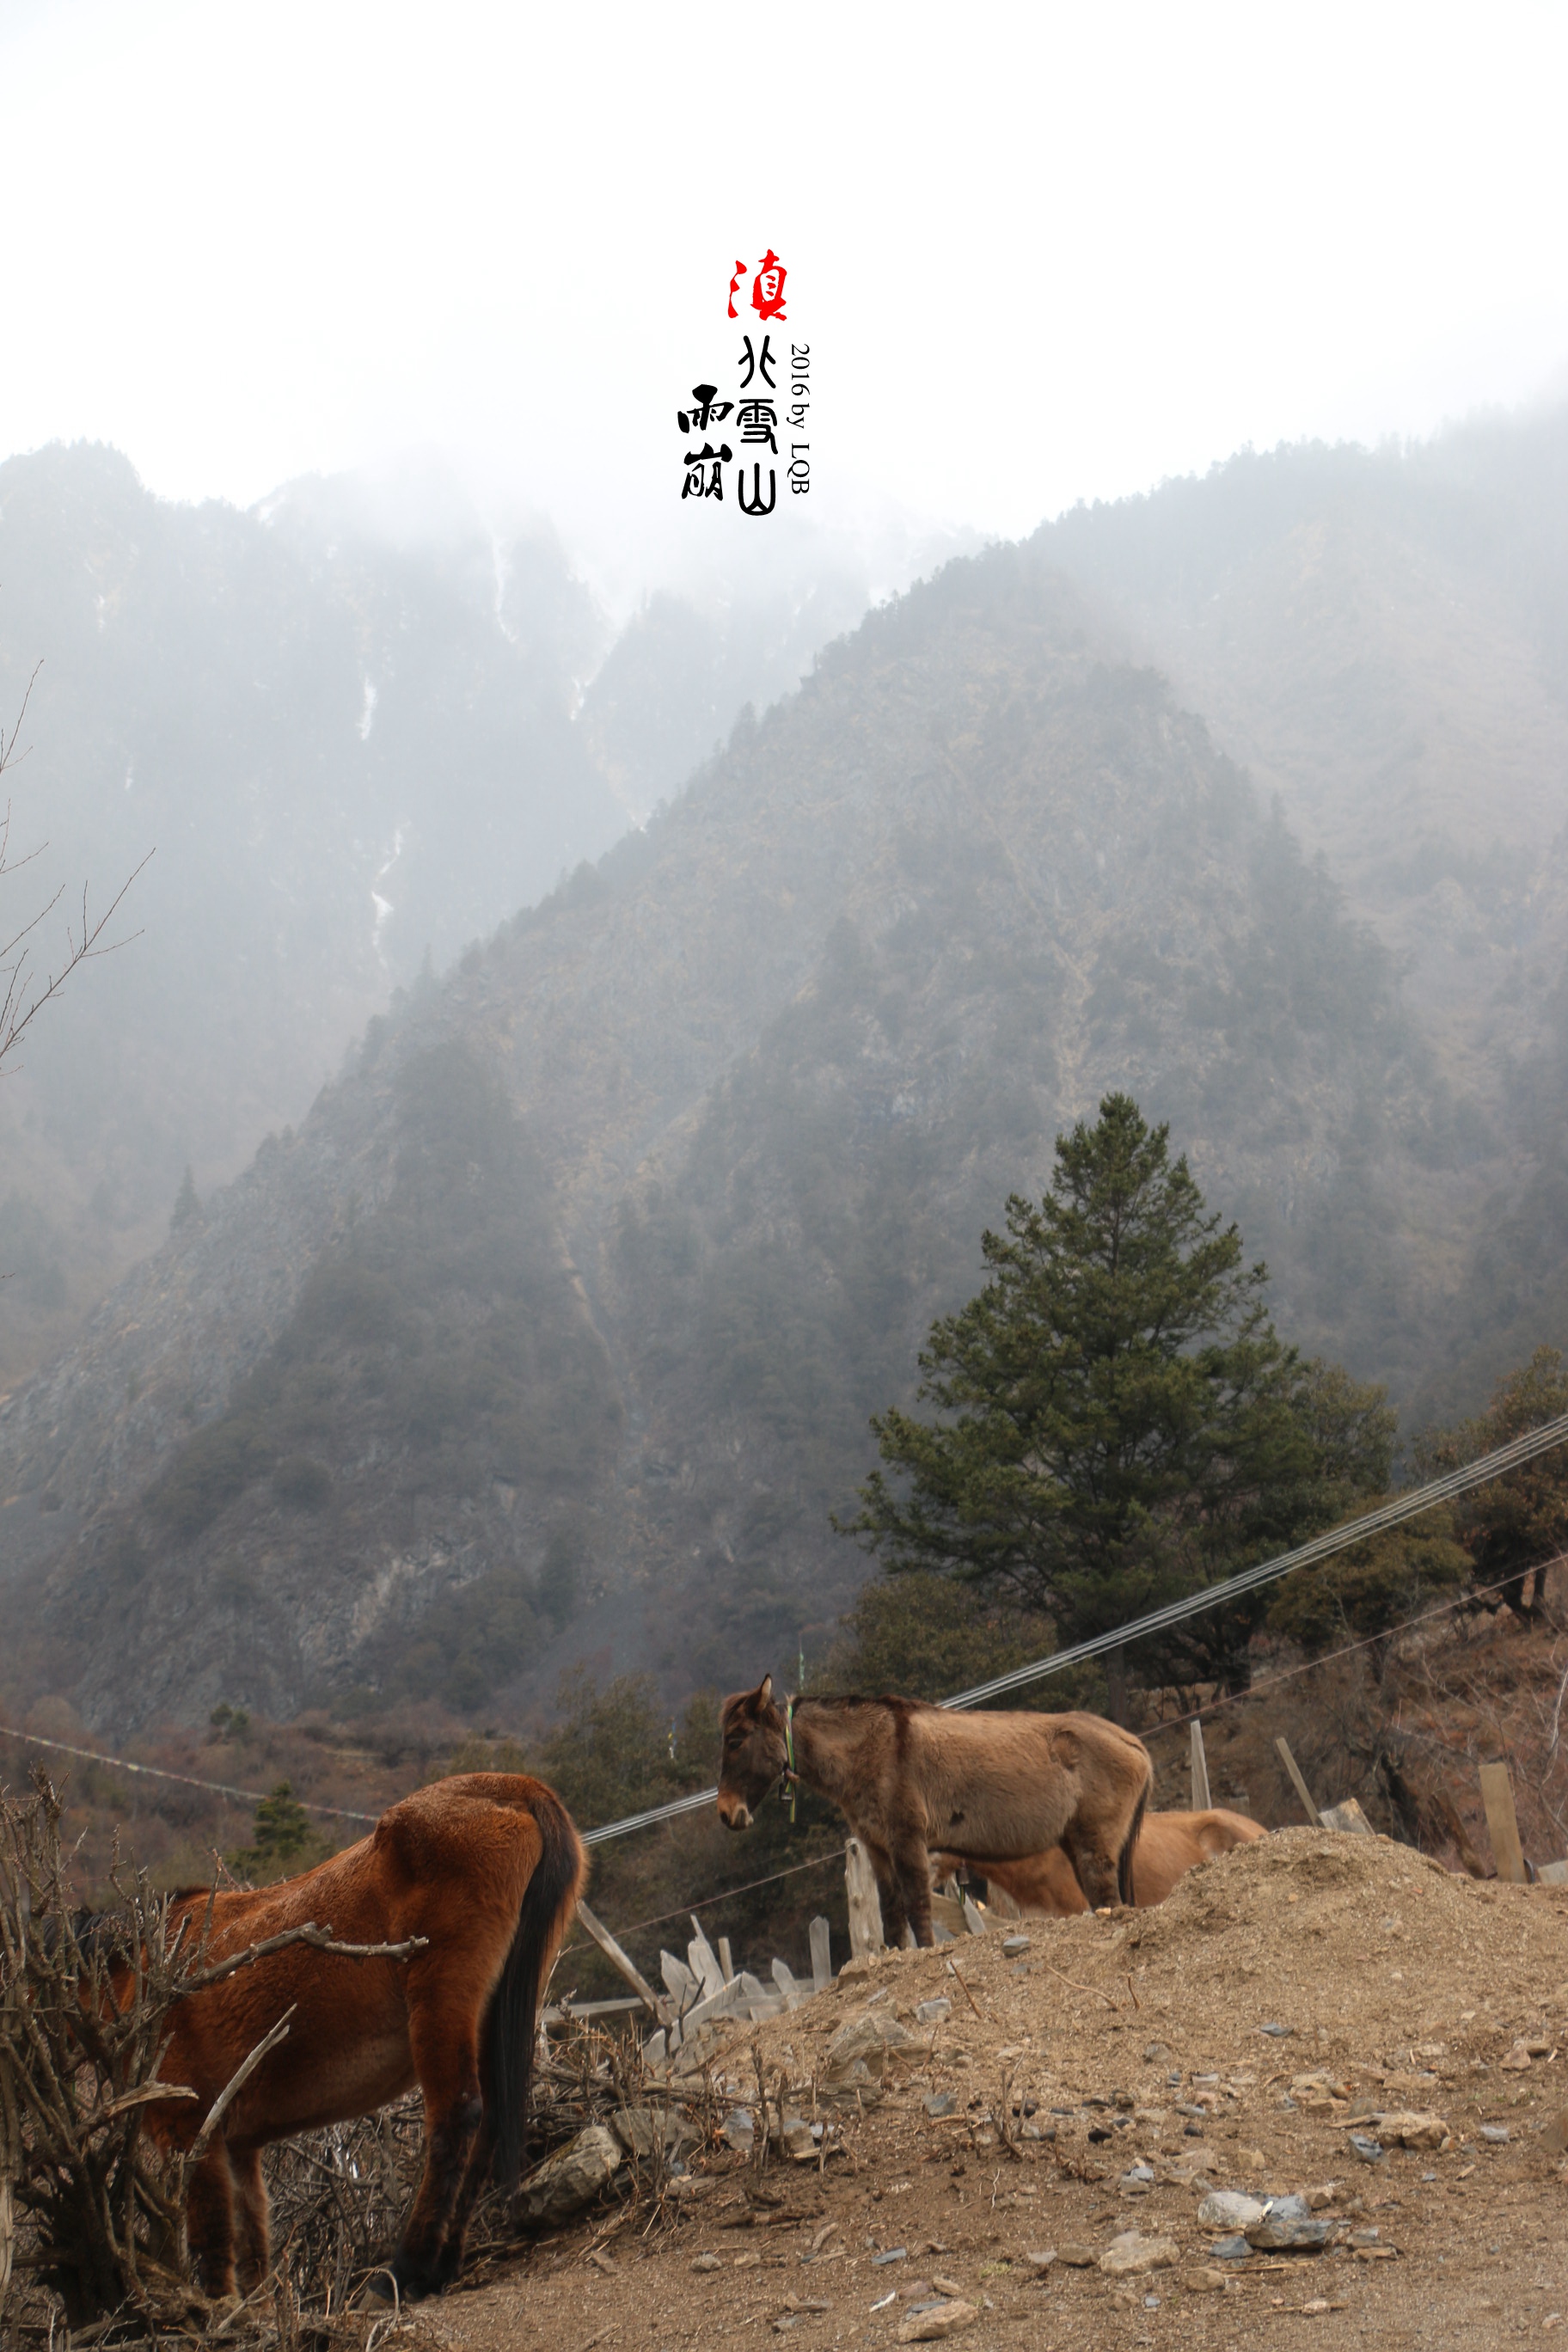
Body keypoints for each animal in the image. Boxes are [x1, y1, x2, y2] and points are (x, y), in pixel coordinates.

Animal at [133, 1778, 583, 2295]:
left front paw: (220, 2305)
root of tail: (513, 1787)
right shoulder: (238, 2146)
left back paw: (409, 2267)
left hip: (443, 2000)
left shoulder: (189, 2131)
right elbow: (252, 2240)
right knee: (490, 2120)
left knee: (458, 2114)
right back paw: (445, 2262)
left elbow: (211, 2234)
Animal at [719, 1675, 1151, 1947]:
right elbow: (891, 1913)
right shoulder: (876, 1846)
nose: (725, 1813)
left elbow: (917, 1905)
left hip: (1095, 1845)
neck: (869, 1750)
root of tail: (1131, 1742)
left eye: (736, 1741)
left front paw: (926, 1952)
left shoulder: (908, 1839)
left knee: (1108, 1900)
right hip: (1077, 1844)